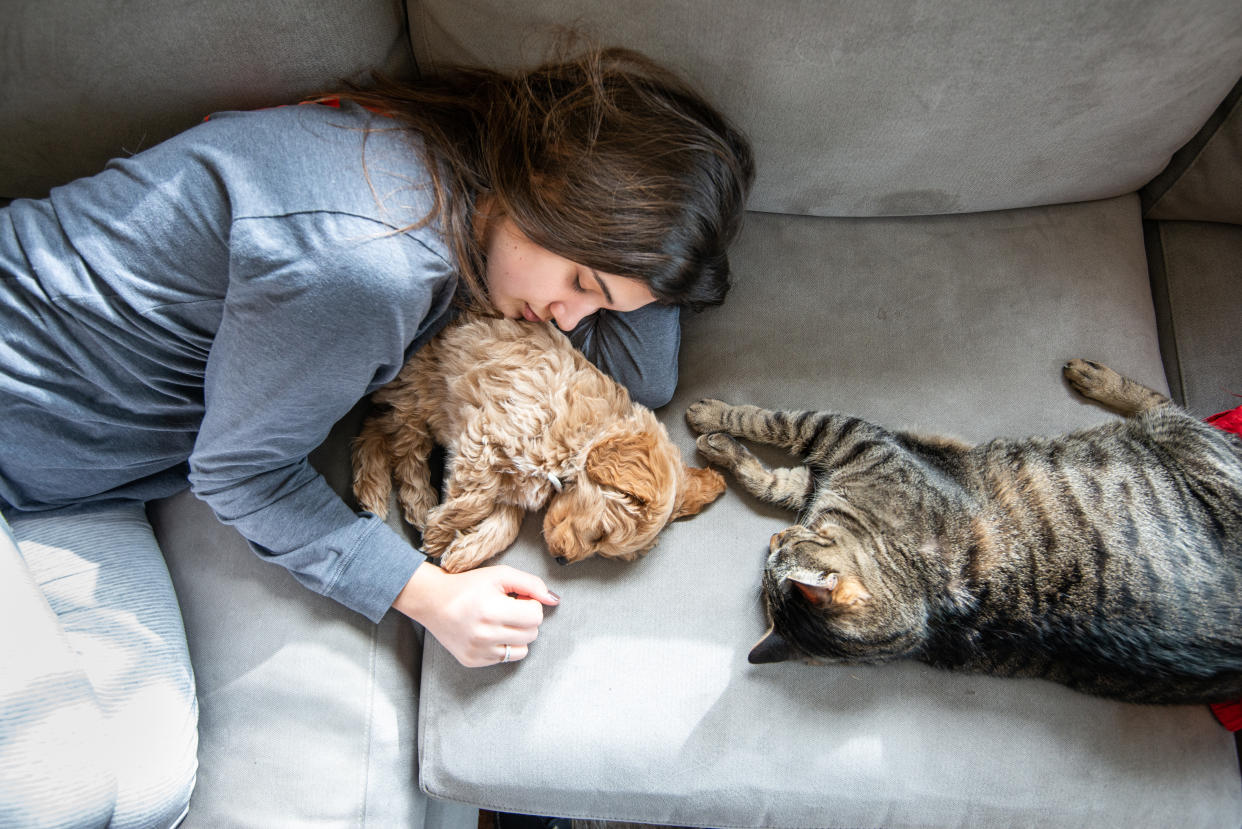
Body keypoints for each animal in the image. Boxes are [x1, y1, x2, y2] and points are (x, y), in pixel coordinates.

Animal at [350, 314, 725, 574]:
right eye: (601, 534)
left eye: (604, 550)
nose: (561, 562)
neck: (584, 438)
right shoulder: (487, 439)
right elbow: (474, 499)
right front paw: (441, 534)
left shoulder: (510, 480)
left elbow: (508, 522)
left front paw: (465, 551)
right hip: (421, 393)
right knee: (403, 448)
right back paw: (413, 501)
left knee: (375, 431)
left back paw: (375, 491)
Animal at [685, 360, 1242, 705]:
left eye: (781, 552)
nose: (773, 541)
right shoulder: (831, 474)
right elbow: (779, 480)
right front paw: (722, 447)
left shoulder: (852, 436)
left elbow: (776, 424)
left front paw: (711, 421)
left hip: (1182, 437)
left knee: (1166, 404)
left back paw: (1095, 376)